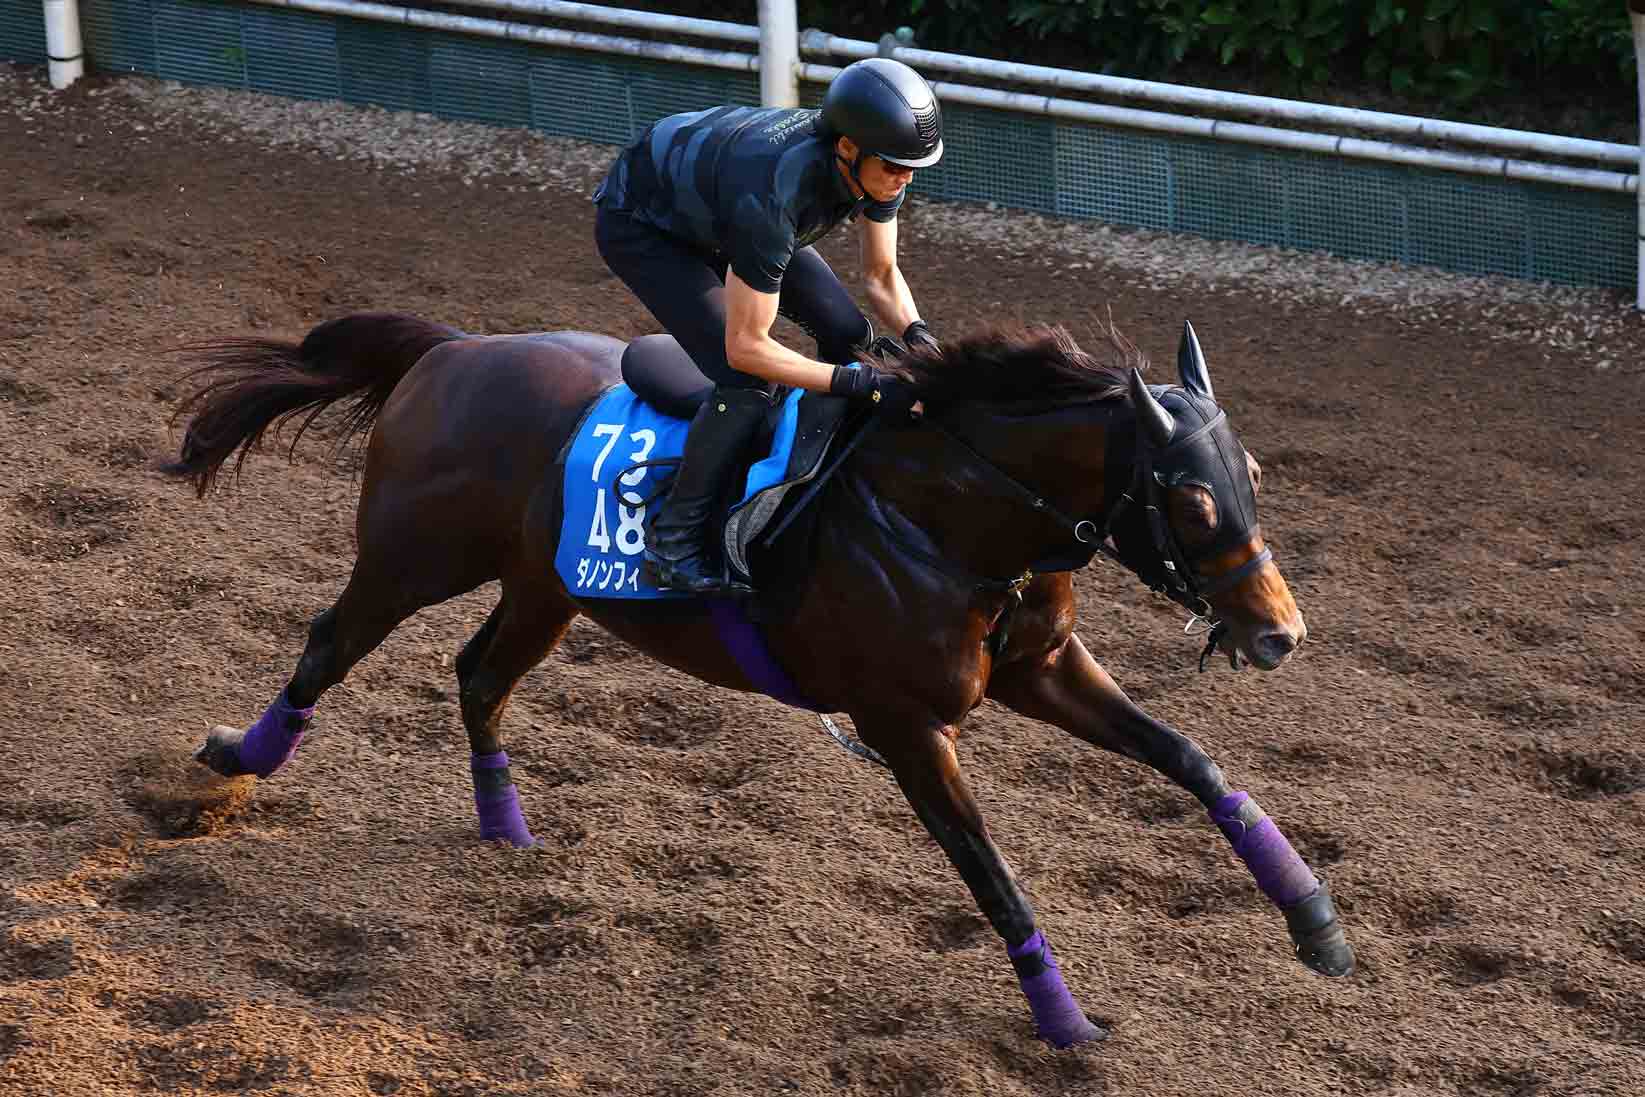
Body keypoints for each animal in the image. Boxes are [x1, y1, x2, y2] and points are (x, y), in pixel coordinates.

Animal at [161, 310, 1355, 1049]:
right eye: (1189, 499)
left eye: (1251, 474)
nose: (1279, 632)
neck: (945, 512)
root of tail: (454, 350)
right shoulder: (905, 722)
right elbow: (991, 870)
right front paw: (1063, 1021)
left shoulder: (1042, 667)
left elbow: (1193, 761)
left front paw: (1314, 920)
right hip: (412, 558)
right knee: (329, 643)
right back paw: (233, 762)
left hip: (544, 586)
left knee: (479, 675)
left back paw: (505, 825)